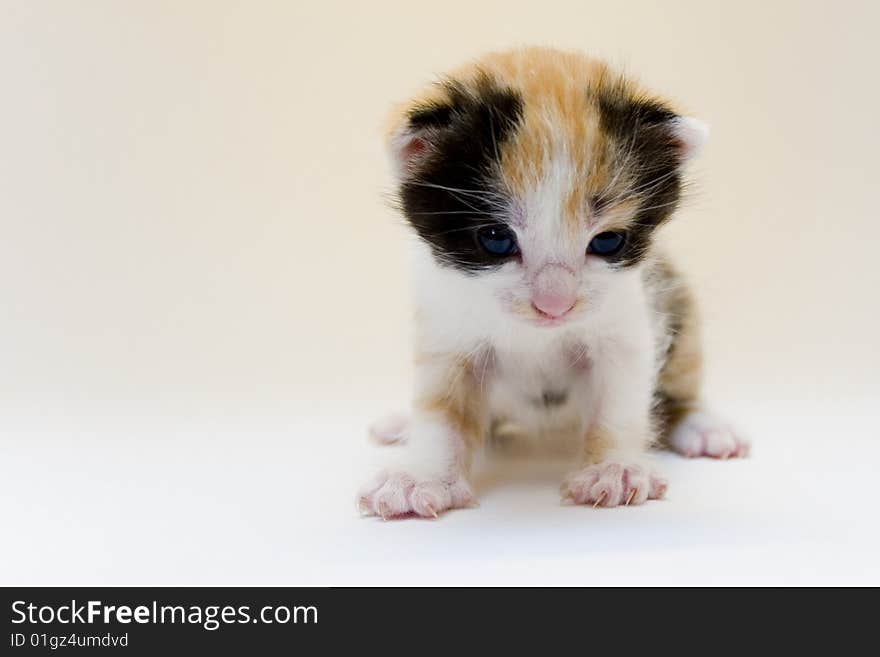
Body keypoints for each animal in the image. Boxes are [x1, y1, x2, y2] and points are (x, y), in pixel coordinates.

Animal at [358, 47, 748, 516]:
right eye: (496, 239)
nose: (554, 306)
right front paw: (423, 477)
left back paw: (704, 426)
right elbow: (440, 410)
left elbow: (618, 402)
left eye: (608, 241)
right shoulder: (446, 329)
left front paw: (614, 470)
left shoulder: (627, 322)